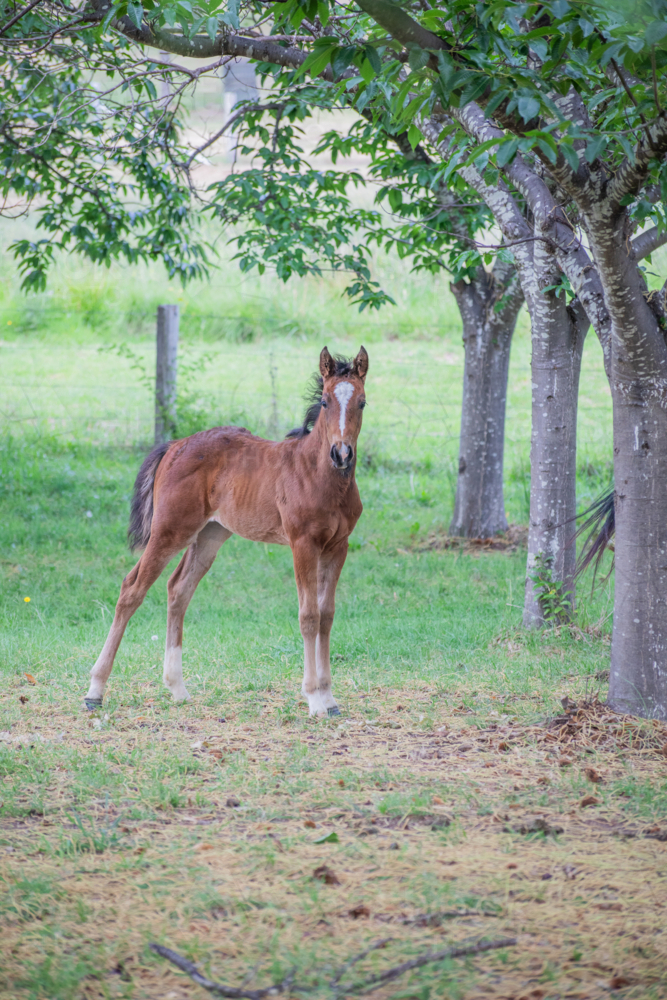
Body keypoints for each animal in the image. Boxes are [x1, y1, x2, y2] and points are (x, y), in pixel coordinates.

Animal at [84, 346, 369, 717]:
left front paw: (330, 697)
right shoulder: (303, 543)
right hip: (170, 530)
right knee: (132, 589)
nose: (341, 453)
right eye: (324, 401)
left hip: (209, 535)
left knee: (178, 589)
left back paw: (177, 687)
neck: (319, 474)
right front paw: (314, 698)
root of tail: (175, 445)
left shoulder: (338, 546)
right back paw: (95, 690)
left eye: (362, 402)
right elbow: (309, 615)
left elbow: (327, 615)